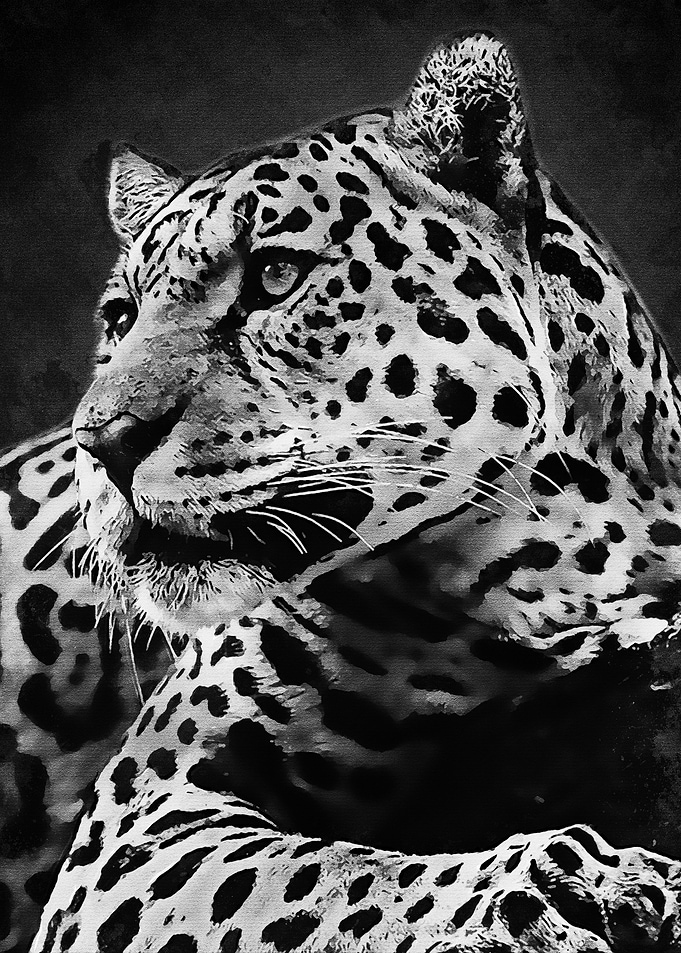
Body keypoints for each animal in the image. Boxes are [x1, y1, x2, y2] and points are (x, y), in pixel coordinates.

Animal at [2, 32, 681, 952]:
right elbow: (328, 877)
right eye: (118, 320)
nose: (100, 442)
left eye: (275, 275)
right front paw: (554, 887)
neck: (553, 567)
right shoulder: (143, 810)